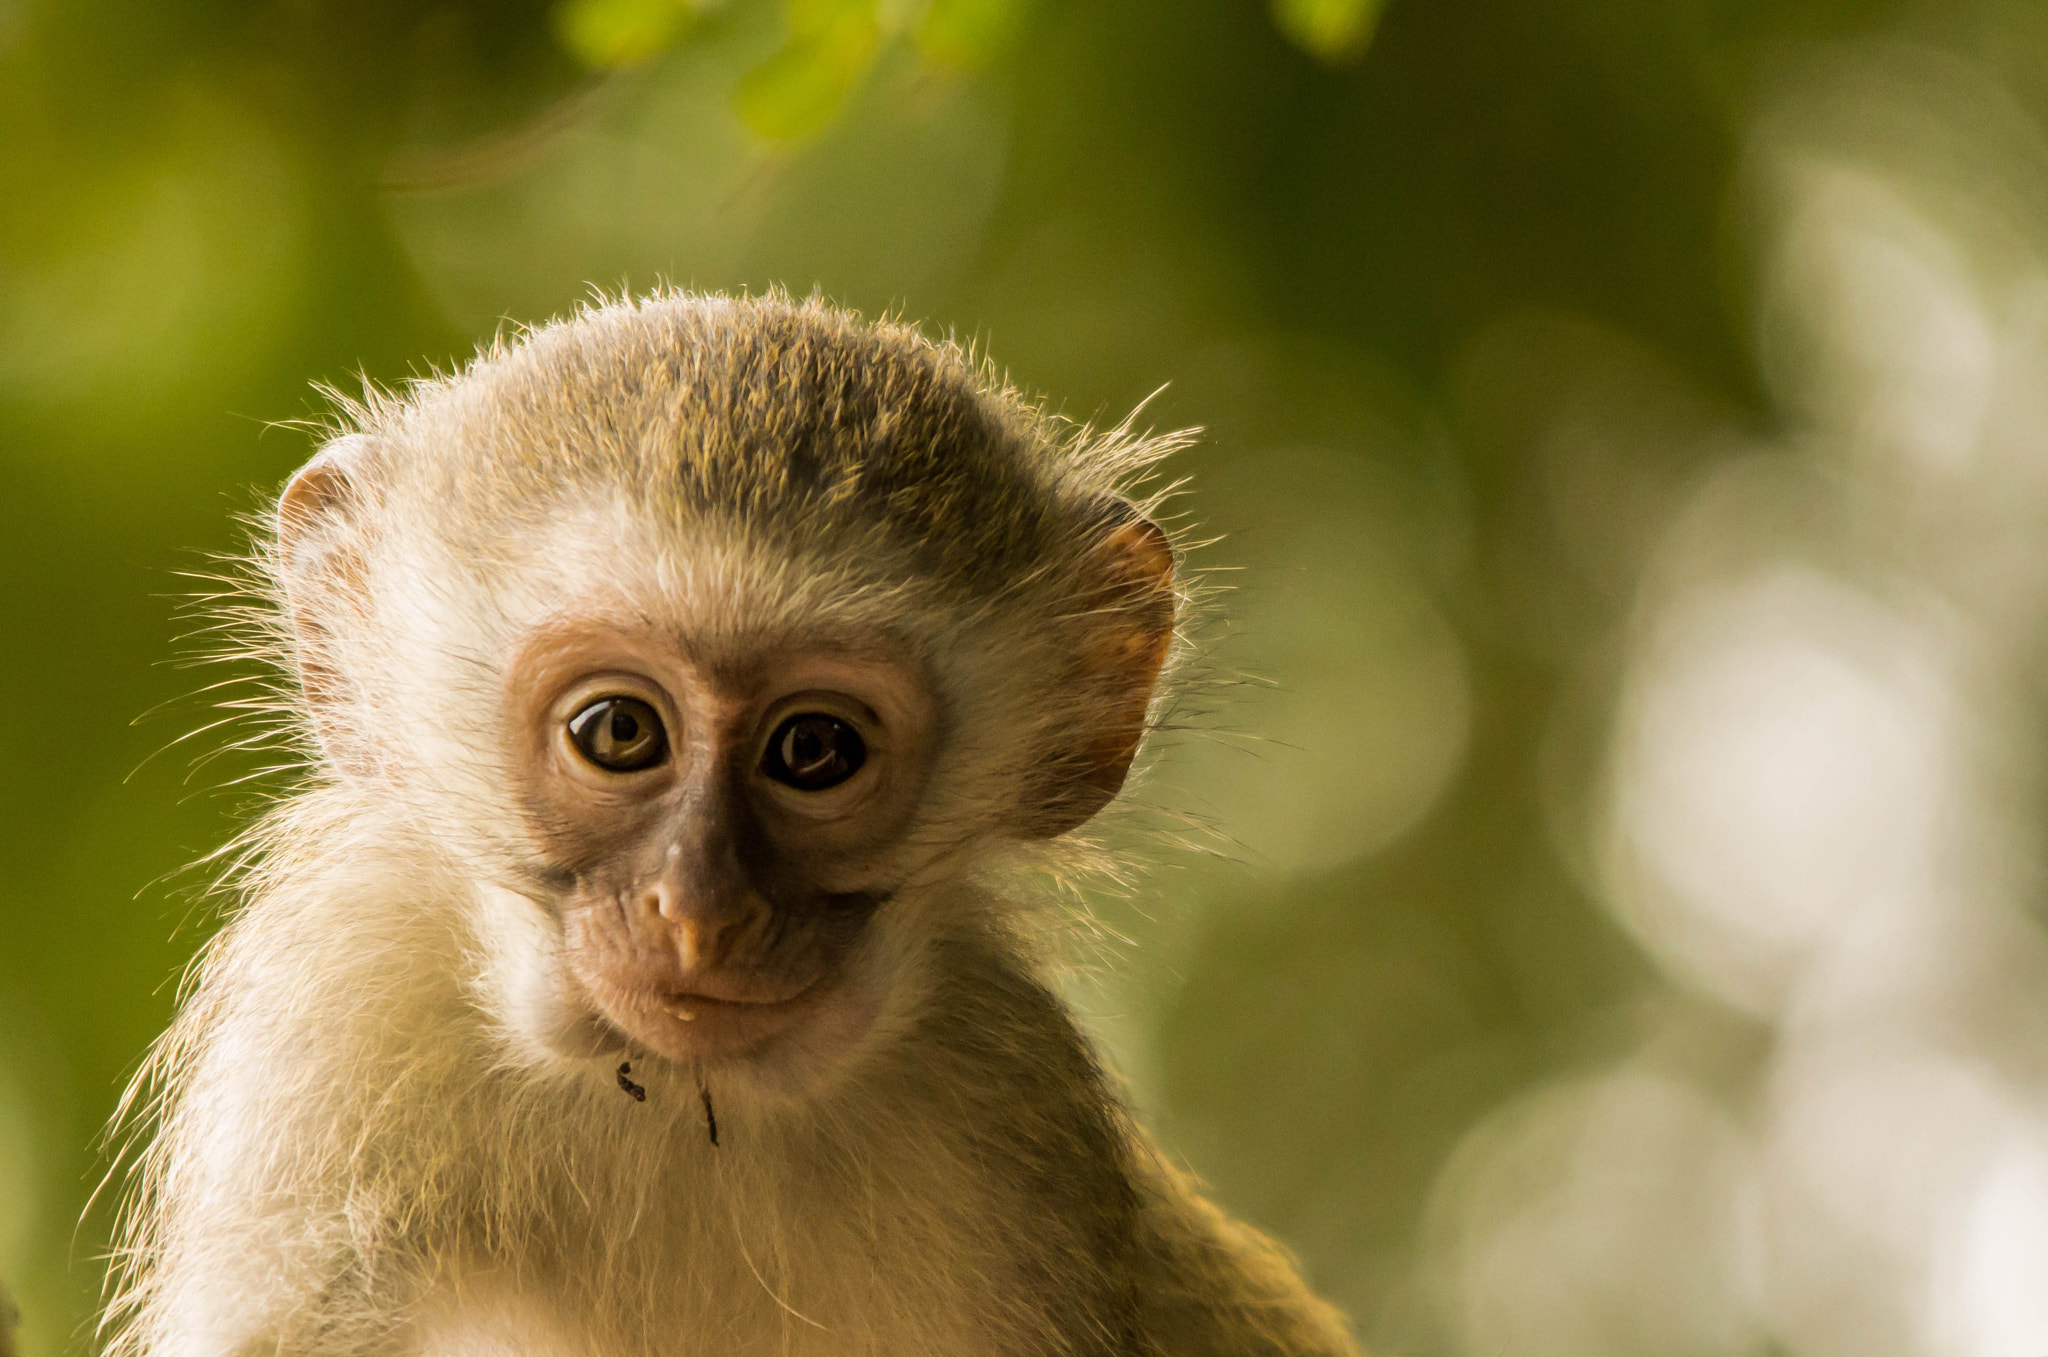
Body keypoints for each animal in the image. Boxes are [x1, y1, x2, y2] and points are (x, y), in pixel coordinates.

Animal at [112, 292, 1359, 1350]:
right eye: (618, 731)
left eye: (813, 751)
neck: (677, 1105)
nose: (698, 910)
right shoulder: (338, 1016)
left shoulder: (1011, 1119)